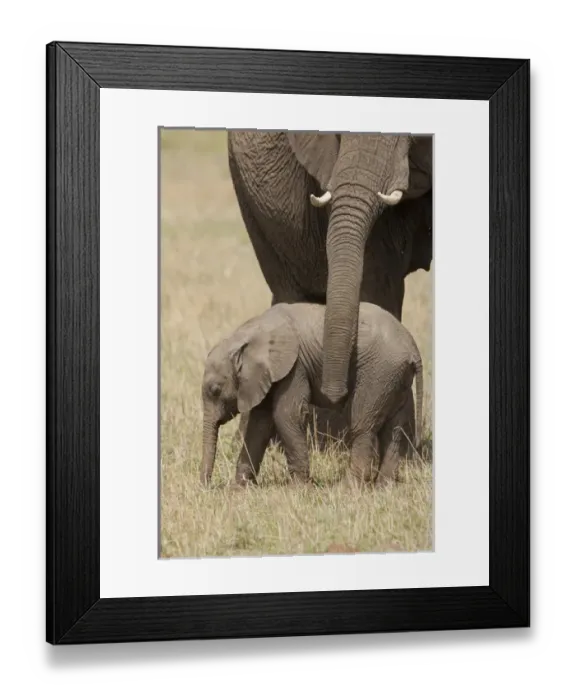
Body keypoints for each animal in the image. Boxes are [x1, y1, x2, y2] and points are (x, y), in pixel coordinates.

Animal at [200, 301, 423, 488]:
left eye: (215, 390)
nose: (207, 487)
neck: (247, 335)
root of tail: (413, 348)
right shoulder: (266, 376)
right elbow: (260, 423)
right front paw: (239, 489)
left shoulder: (294, 367)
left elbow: (286, 415)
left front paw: (297, 489)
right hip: (396, 379)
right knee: (395, 430)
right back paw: (384, 488)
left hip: (379, 374)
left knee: (363, 425)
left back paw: (347, 489)